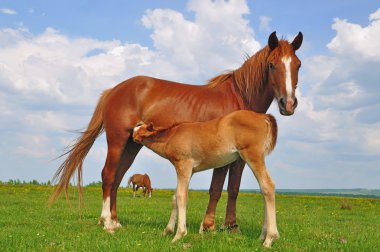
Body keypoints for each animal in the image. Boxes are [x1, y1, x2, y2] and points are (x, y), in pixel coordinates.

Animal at [49, 32, 302, 234]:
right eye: (272, 64)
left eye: (297, 65)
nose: (288, 104)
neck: (239, 97)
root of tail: (113, 90)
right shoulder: (222, 158)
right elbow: (216, 189)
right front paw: (207, 226)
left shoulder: (238, 158)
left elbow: (233, 189)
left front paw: (231, 227)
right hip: (117, 140)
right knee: (109, 175)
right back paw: (107, 223)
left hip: (132, 145)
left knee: (118, 178)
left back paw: (115, 221)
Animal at [134, 110, 280, 248]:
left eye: (138, 129)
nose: (132, 136)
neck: (172, 136)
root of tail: (262, 116)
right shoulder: (189, 171)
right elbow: (175, 197)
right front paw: (167, 230)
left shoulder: (184, 165)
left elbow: (181, 196)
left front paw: (178, 235)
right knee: (263, 189)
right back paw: (262, 236)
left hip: (252, 155)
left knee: (268, 185)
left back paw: (269, 238)